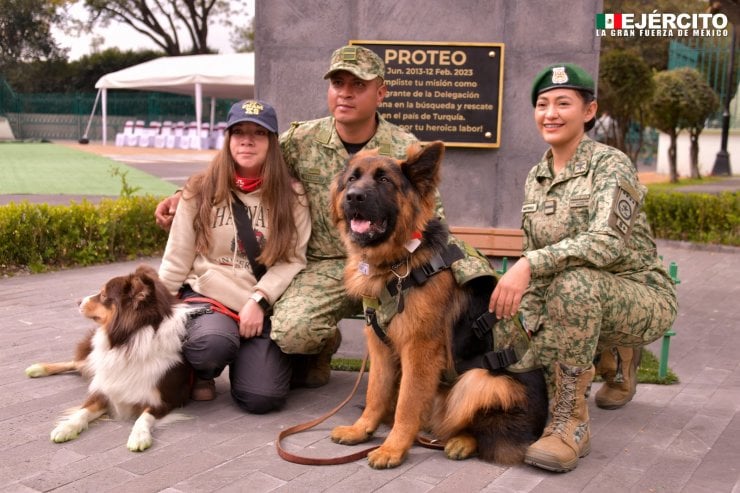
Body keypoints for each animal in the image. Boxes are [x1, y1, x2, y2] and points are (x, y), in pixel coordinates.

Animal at [26, 266, 194, 450]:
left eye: (104, 295)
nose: (78, 301)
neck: (131, 340)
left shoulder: (166, 399)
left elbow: (144, 417)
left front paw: (139, 436)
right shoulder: (103, 389)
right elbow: (82, 411)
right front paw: (65, 428)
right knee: (76, 362)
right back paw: (38, 368)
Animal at [330, 140, 548, 468]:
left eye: (384, 180)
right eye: (352, 179)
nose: (354, 196)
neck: (401, 260)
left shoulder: (420, 350)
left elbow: (406, 405)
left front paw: (393, 448)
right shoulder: (380, 348)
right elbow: (375, 393)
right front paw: (362, 430)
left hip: (480, 381)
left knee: (482, 429)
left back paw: (460, 442)